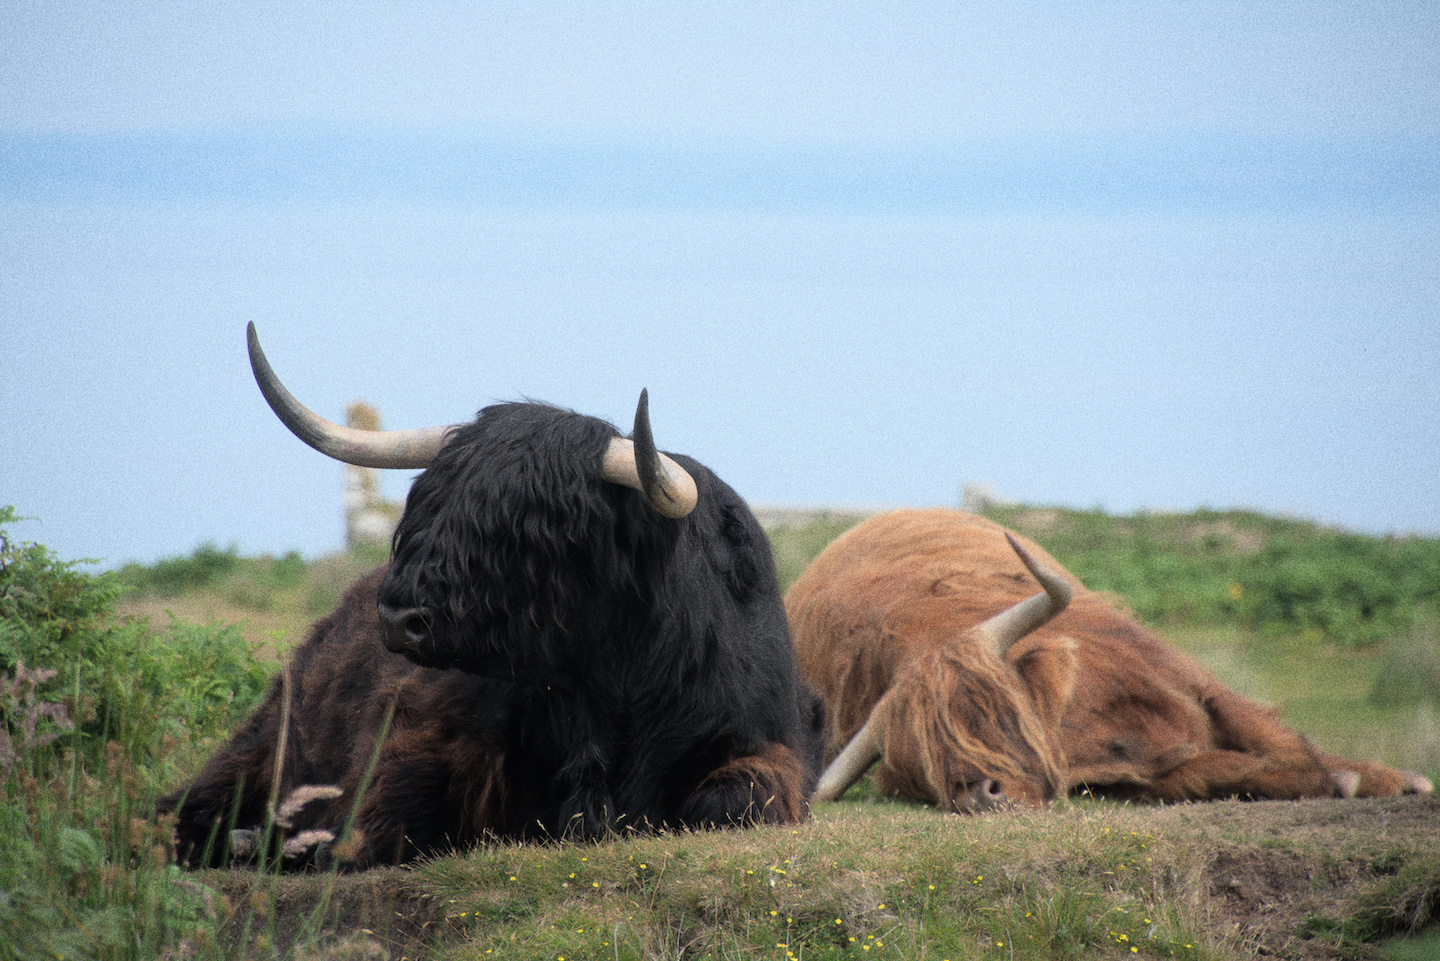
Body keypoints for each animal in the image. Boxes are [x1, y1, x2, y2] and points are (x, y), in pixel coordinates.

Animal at [159, 325, 829, 870]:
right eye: (423, 504)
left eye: (528, 530)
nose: (399, 618)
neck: (614, 688)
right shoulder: (424, 743)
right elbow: (390, 820)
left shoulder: (769, 751)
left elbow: (727, 802)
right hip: (261, 745)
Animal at [794, 510, 1434, 812]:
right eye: (916, 774)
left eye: (981, 712)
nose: (980, 794)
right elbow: (1203, 771)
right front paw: (1332, 780)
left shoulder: (1188, 678)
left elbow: (1267, 731)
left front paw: (1384, 777)